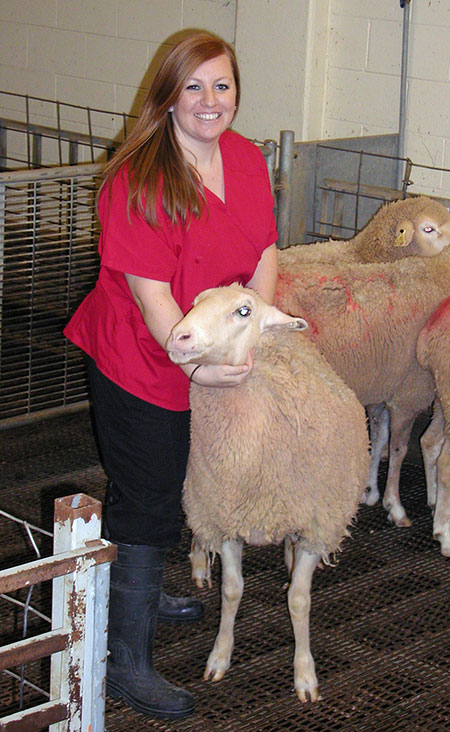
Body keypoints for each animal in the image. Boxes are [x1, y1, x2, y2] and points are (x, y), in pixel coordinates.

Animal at [165, 284, 370, 704]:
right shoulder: (227, 518)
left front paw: (305, 674)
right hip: (201, 497)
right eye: (194, 303)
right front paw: (219, 657)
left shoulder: (314, 526)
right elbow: (231, 591)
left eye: (244, 311)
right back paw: (199, 562)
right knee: (199, 529)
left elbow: (299, 600)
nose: (179, 337)